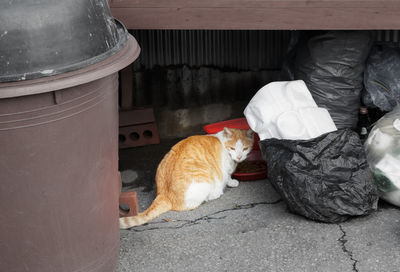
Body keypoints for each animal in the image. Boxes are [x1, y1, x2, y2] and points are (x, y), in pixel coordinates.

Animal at [120, 128, 255, 230]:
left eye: (244, 149)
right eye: (232, 148)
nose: (239, 157)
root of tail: (164, 194)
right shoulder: (224, 170)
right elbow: (227, 177)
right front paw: (232, 182)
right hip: (204, 181)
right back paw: (215, 194)